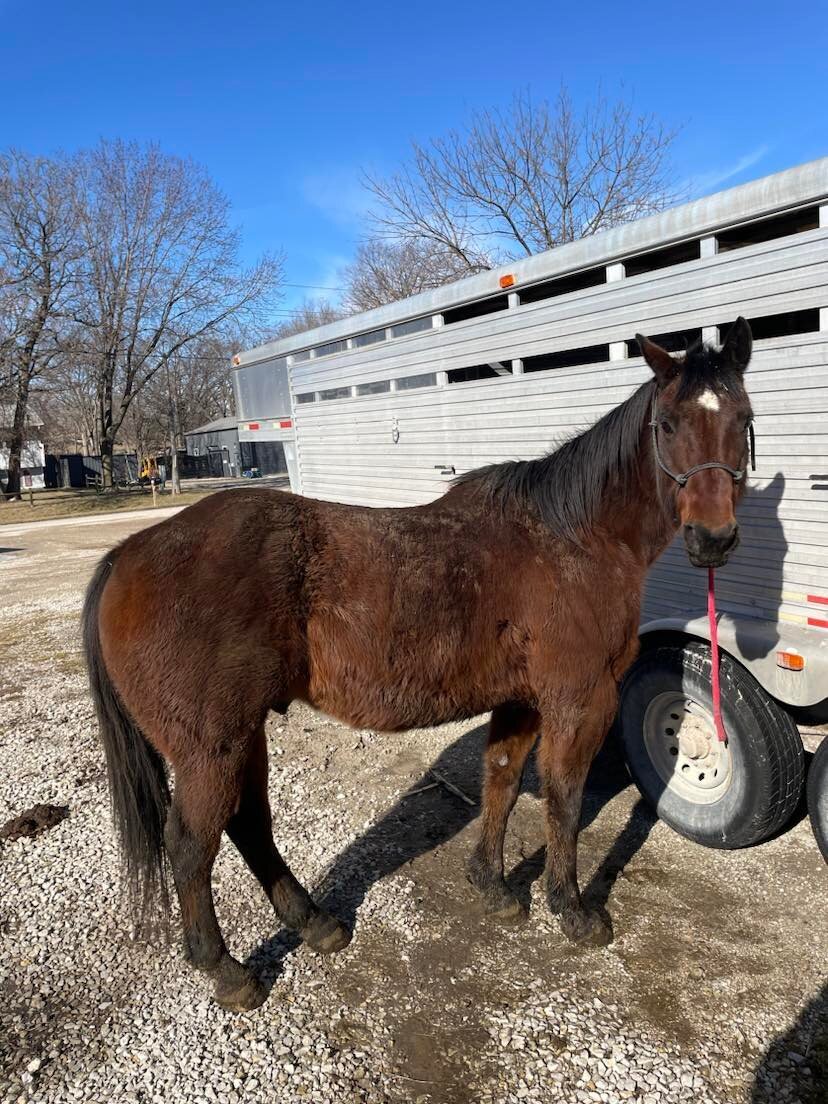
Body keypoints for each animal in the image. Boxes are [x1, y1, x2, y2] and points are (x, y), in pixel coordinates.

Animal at [82, 319, 755, 1012]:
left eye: (743, 418)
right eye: (668, 424)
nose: (713, 539)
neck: (572, 539)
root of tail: (127, 555)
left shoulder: (521, 700)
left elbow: (501, 779)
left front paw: (491, 885)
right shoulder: (579, 699)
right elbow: (564, 800)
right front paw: (571, 910)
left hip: (242, 736)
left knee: (250, 825)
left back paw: (314, 923)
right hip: (209, 747)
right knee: (192, 846)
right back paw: (225, 969)